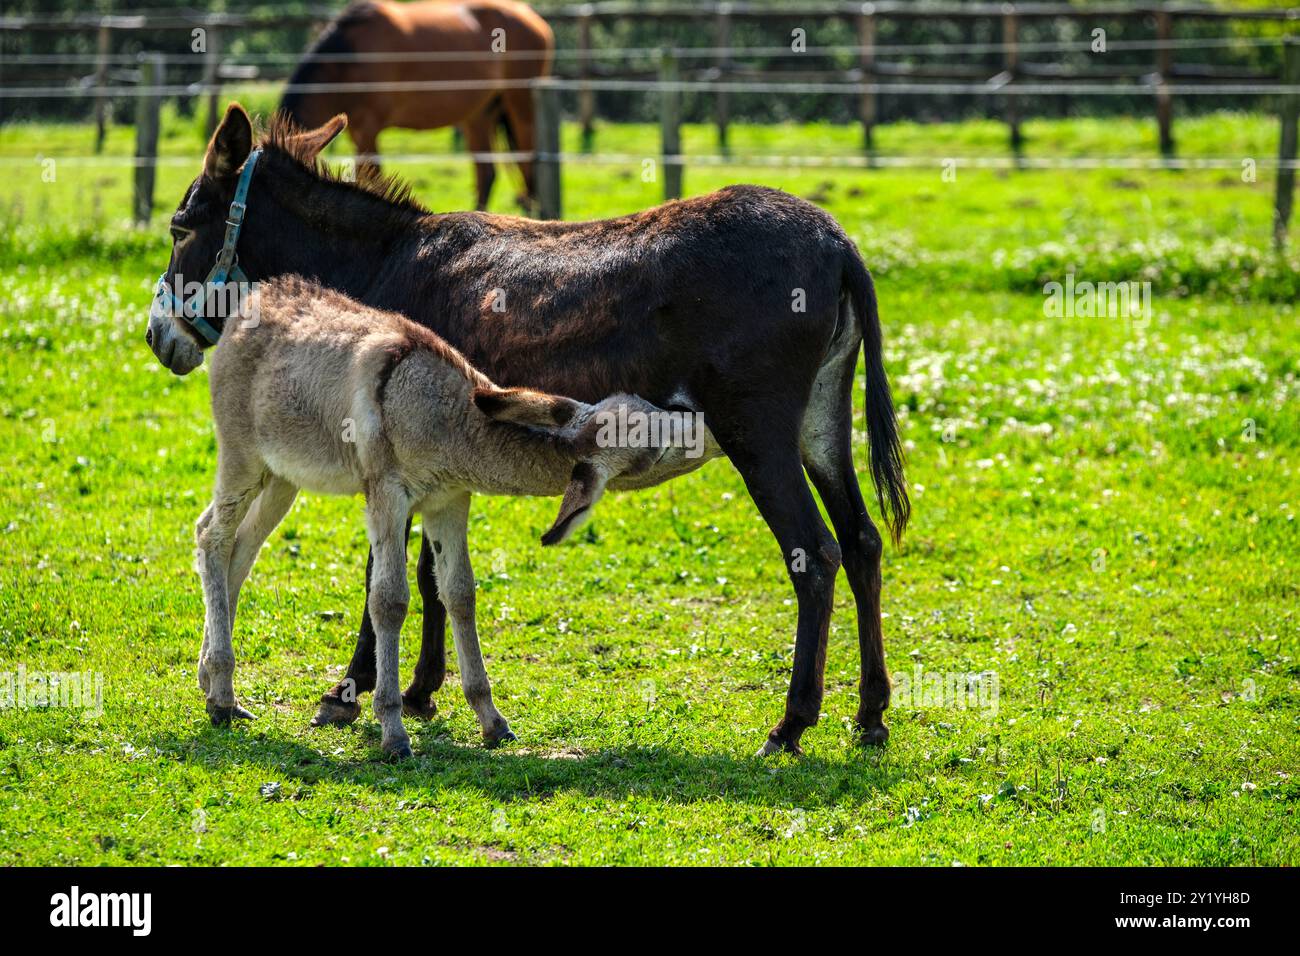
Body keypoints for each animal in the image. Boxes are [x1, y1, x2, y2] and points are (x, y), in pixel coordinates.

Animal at [192, 273, 696, 759]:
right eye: (653, 447)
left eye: (649, 408)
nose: (692, 414)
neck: (445, 414)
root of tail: (256, 297)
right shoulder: (388, 497)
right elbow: (389, 600)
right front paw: (393, 730)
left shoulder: (449, 501)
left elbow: (459, 593)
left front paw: (491, 720)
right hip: (242, 457)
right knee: (212, 538)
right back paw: (222, 690)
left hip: (282, 477)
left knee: (239, 547)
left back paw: (214, 686)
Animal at [282, 0, 551, 210]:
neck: (347, 60)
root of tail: (532, 16)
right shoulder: (355, 130)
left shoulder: (369, 126)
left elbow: (370, 173)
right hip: (479, 115)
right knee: (487, 173)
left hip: (521, 106)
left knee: (528, 168)